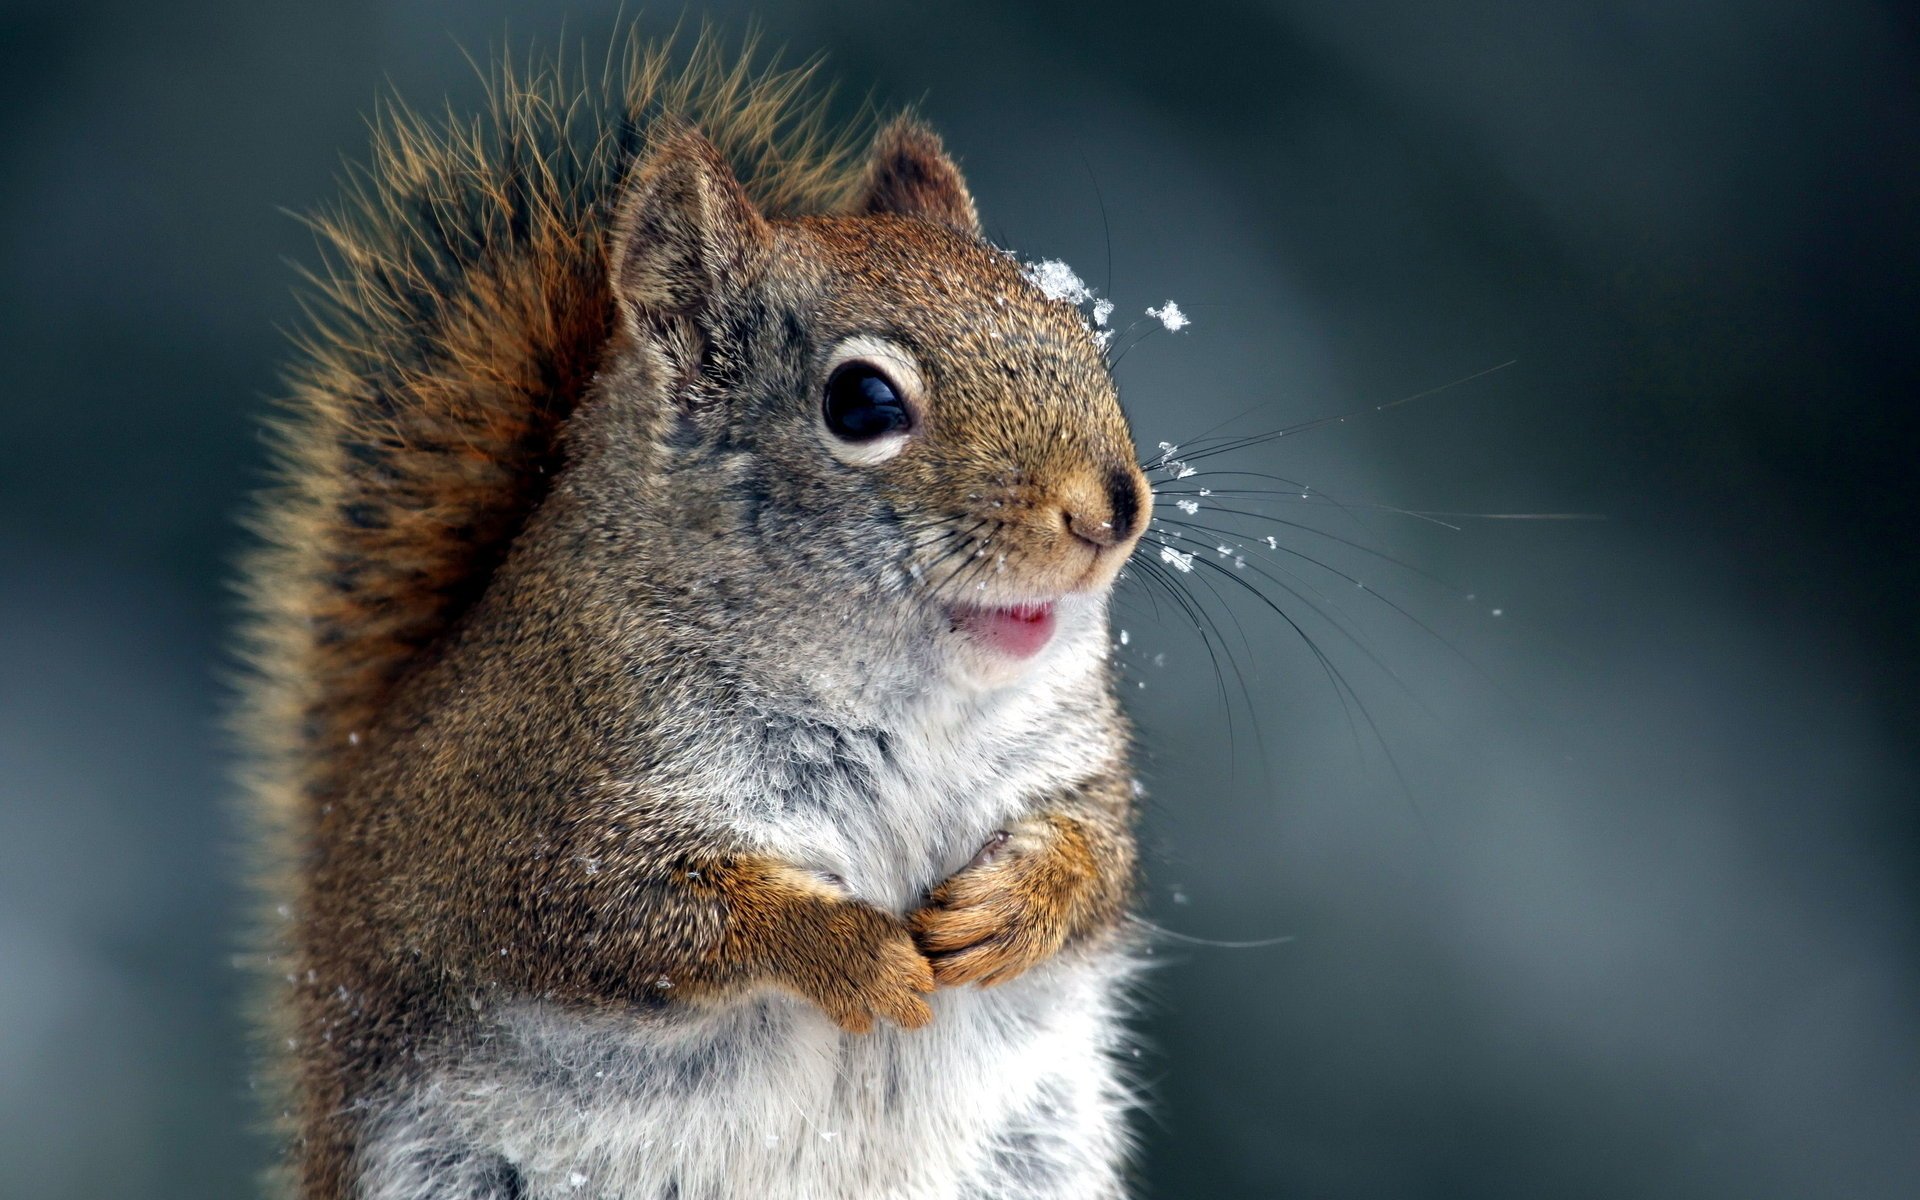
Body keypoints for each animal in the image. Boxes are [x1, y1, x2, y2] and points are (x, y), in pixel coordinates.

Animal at [239, 34, 1153, 1200]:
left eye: (1074, 326)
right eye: (863, 403)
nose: (1112, 510)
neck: (910, 701)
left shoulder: (1071, 761)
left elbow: (1097, 853)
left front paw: (1011, 910)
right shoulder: (540, 819)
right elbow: (651, 922)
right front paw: (852, 955)